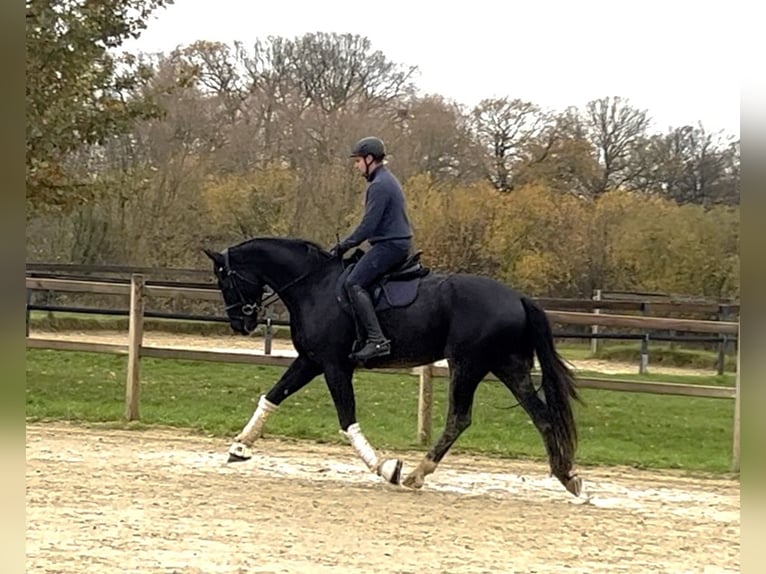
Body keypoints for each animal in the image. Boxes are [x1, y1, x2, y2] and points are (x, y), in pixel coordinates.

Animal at [203, 236, 584, 496]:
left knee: (459, 419)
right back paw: (566, 475)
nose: (240, 323)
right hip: (508, 367)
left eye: (224, 278)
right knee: (541, 415)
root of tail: (517, 297)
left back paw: (417, 473)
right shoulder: (310, 361)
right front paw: (239, 447)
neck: (314, 286)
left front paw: (387, 468)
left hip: (468, 365)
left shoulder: (333, 366)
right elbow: (272, 396)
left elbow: (347, 420)